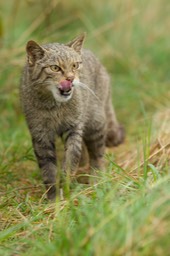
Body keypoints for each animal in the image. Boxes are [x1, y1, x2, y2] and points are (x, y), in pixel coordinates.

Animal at [20, 33, 125, 199]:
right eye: (55, 68)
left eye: (75, 66)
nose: (70, 78)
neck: (54, 106)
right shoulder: (40, 135)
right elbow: (48, 169)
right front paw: (54, 197)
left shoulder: (74, 127)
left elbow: (72, 156)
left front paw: (66, 179)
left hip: (96, 123)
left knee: (97, 154)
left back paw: (96, 178)